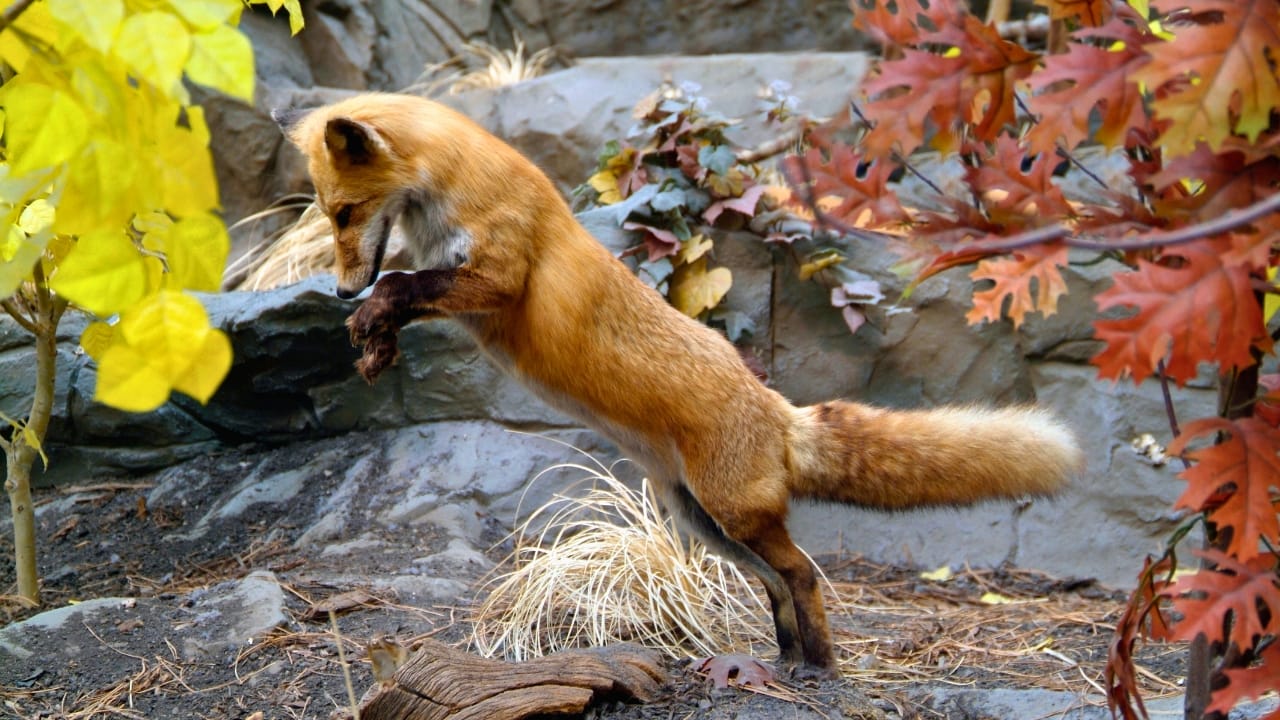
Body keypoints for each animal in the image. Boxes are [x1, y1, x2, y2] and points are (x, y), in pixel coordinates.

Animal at [274, 92, 1083, 679]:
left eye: (344, 212)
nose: (341, 290)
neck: (454, 191)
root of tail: (777, 409)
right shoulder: (457, 284)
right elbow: (406, 289)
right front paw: (374, 343)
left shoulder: (499, 277)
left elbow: (405, 281)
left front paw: (371, 316)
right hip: (700, 522)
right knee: (777, 583)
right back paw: (781, 658)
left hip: (732, 514)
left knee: (807, 574)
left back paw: (820, 668)